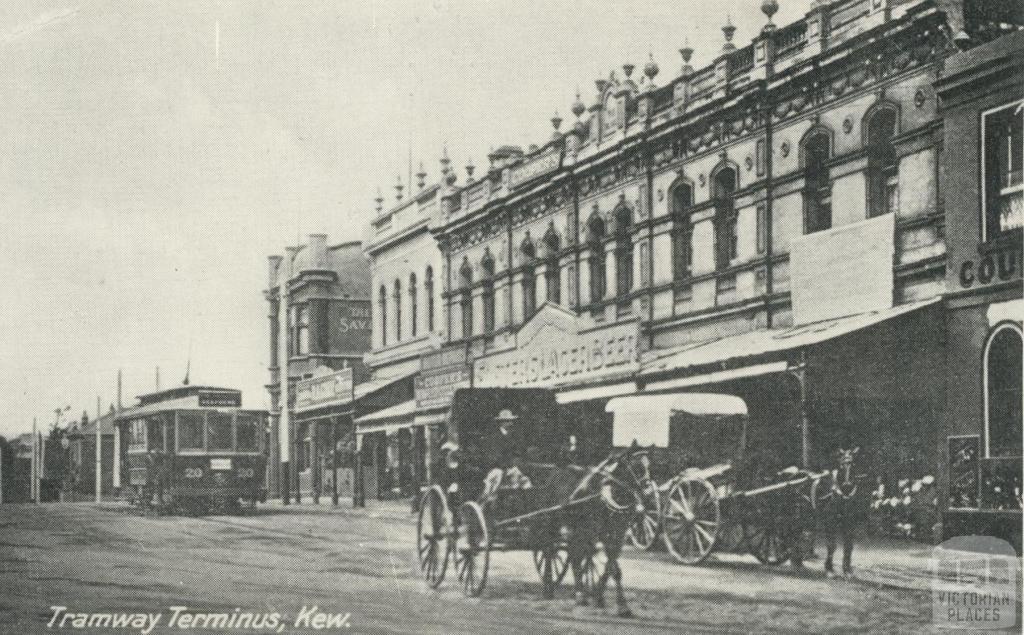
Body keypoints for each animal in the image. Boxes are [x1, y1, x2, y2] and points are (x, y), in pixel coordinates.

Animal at [532, 448, 643, 618]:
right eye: (634, 469)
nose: (642, 507)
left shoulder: (617, 536)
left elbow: (612, 568)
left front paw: (603, 599)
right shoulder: (602, 534)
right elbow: (612, 568)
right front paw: (616, 603)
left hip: (580, 531)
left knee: (576, 554)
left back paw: (580, 592)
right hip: (554, 523)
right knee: (550, 551)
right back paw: (551, 589)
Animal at [815, 448, 864, 577]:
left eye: (853, 464)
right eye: (842, 465)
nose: (847, 485)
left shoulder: (850, 523)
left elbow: (848, 546)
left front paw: (847, 570)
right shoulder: (829, 521)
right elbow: (831, 545)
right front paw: (829, 568)